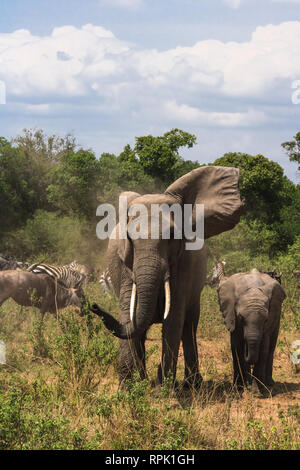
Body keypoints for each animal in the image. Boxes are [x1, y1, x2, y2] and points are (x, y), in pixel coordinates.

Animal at [92, 167, 244, 388]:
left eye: (172, 236)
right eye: (129, 238)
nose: (94, 306)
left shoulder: (184, 265)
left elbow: (173, 318)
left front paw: (162, 389)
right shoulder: (125, 264)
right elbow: (127, 312)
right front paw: (127, 389)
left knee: (189, 325)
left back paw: (192, 384)